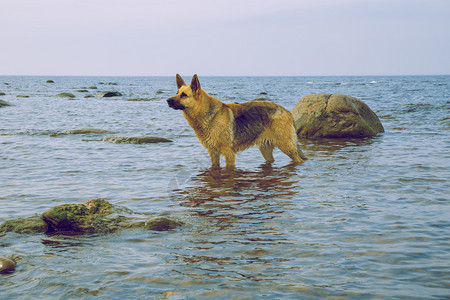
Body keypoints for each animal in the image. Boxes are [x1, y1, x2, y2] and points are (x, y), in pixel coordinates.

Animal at [167, 74, 308, 169]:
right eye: (177, 92)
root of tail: (287, 111)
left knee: (299, 160)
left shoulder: (228, 154)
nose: (167, 101)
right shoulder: (213, 153)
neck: (206, 113)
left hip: (286, 147)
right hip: (265, 150)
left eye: (184, 95)